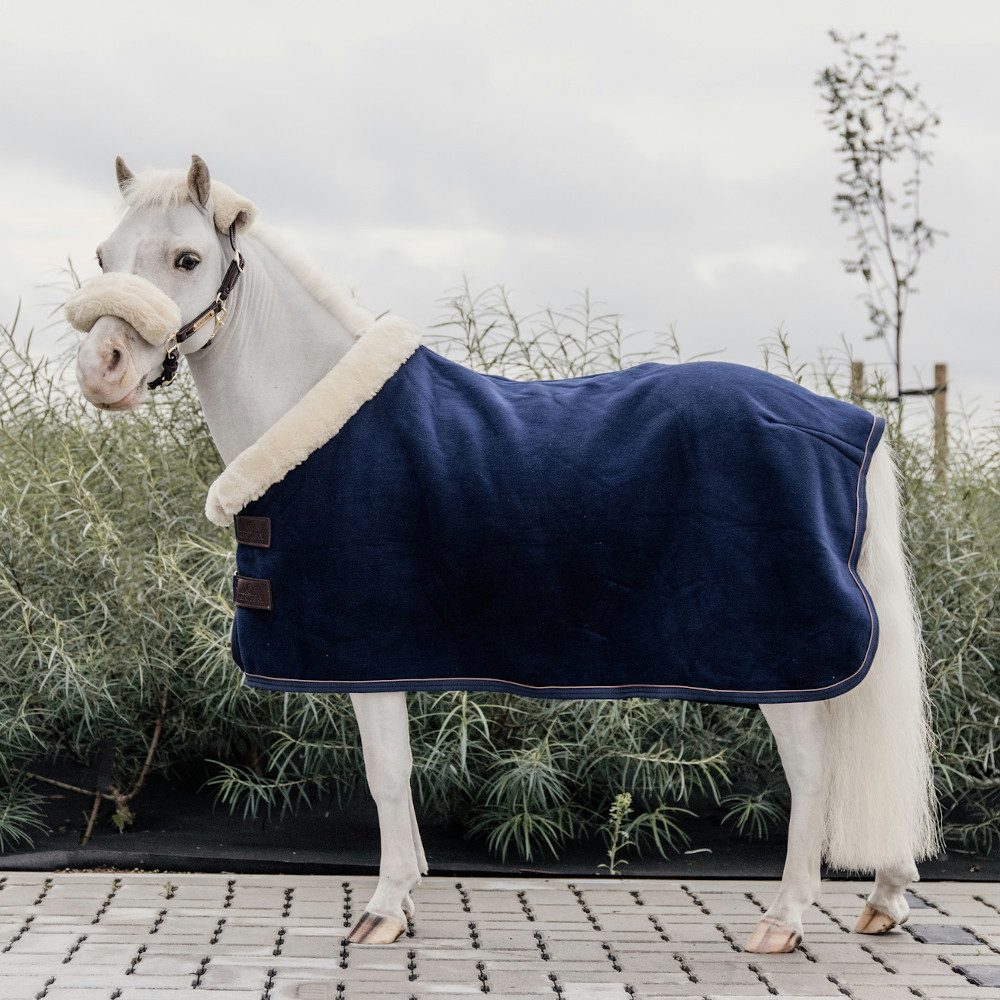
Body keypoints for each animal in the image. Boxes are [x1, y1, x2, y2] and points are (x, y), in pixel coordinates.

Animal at [70, 155, 939, 952]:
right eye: (105, 256)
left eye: (188, 259)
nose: (102, 371)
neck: (316, 413)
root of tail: (849, 424)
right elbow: (398, 774)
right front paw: (410, 888)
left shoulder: (369, 650)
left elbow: (385, 773)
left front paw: (384, 908)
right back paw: (888, 896)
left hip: (780, 664)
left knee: (815, 772)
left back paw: (785, 920)